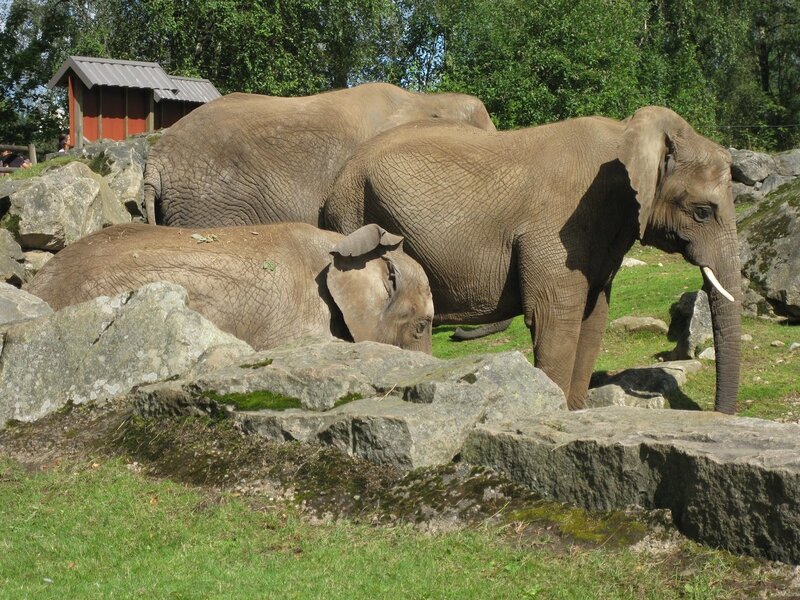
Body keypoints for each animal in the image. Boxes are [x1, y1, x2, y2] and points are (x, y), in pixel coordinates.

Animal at [324, 107, 742, 413]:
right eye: (703, 212)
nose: (715, 414)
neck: (627, 135)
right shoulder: (559, 225)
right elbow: (554, 318)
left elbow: (593, 318)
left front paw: (573, 415)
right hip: (351, 213)